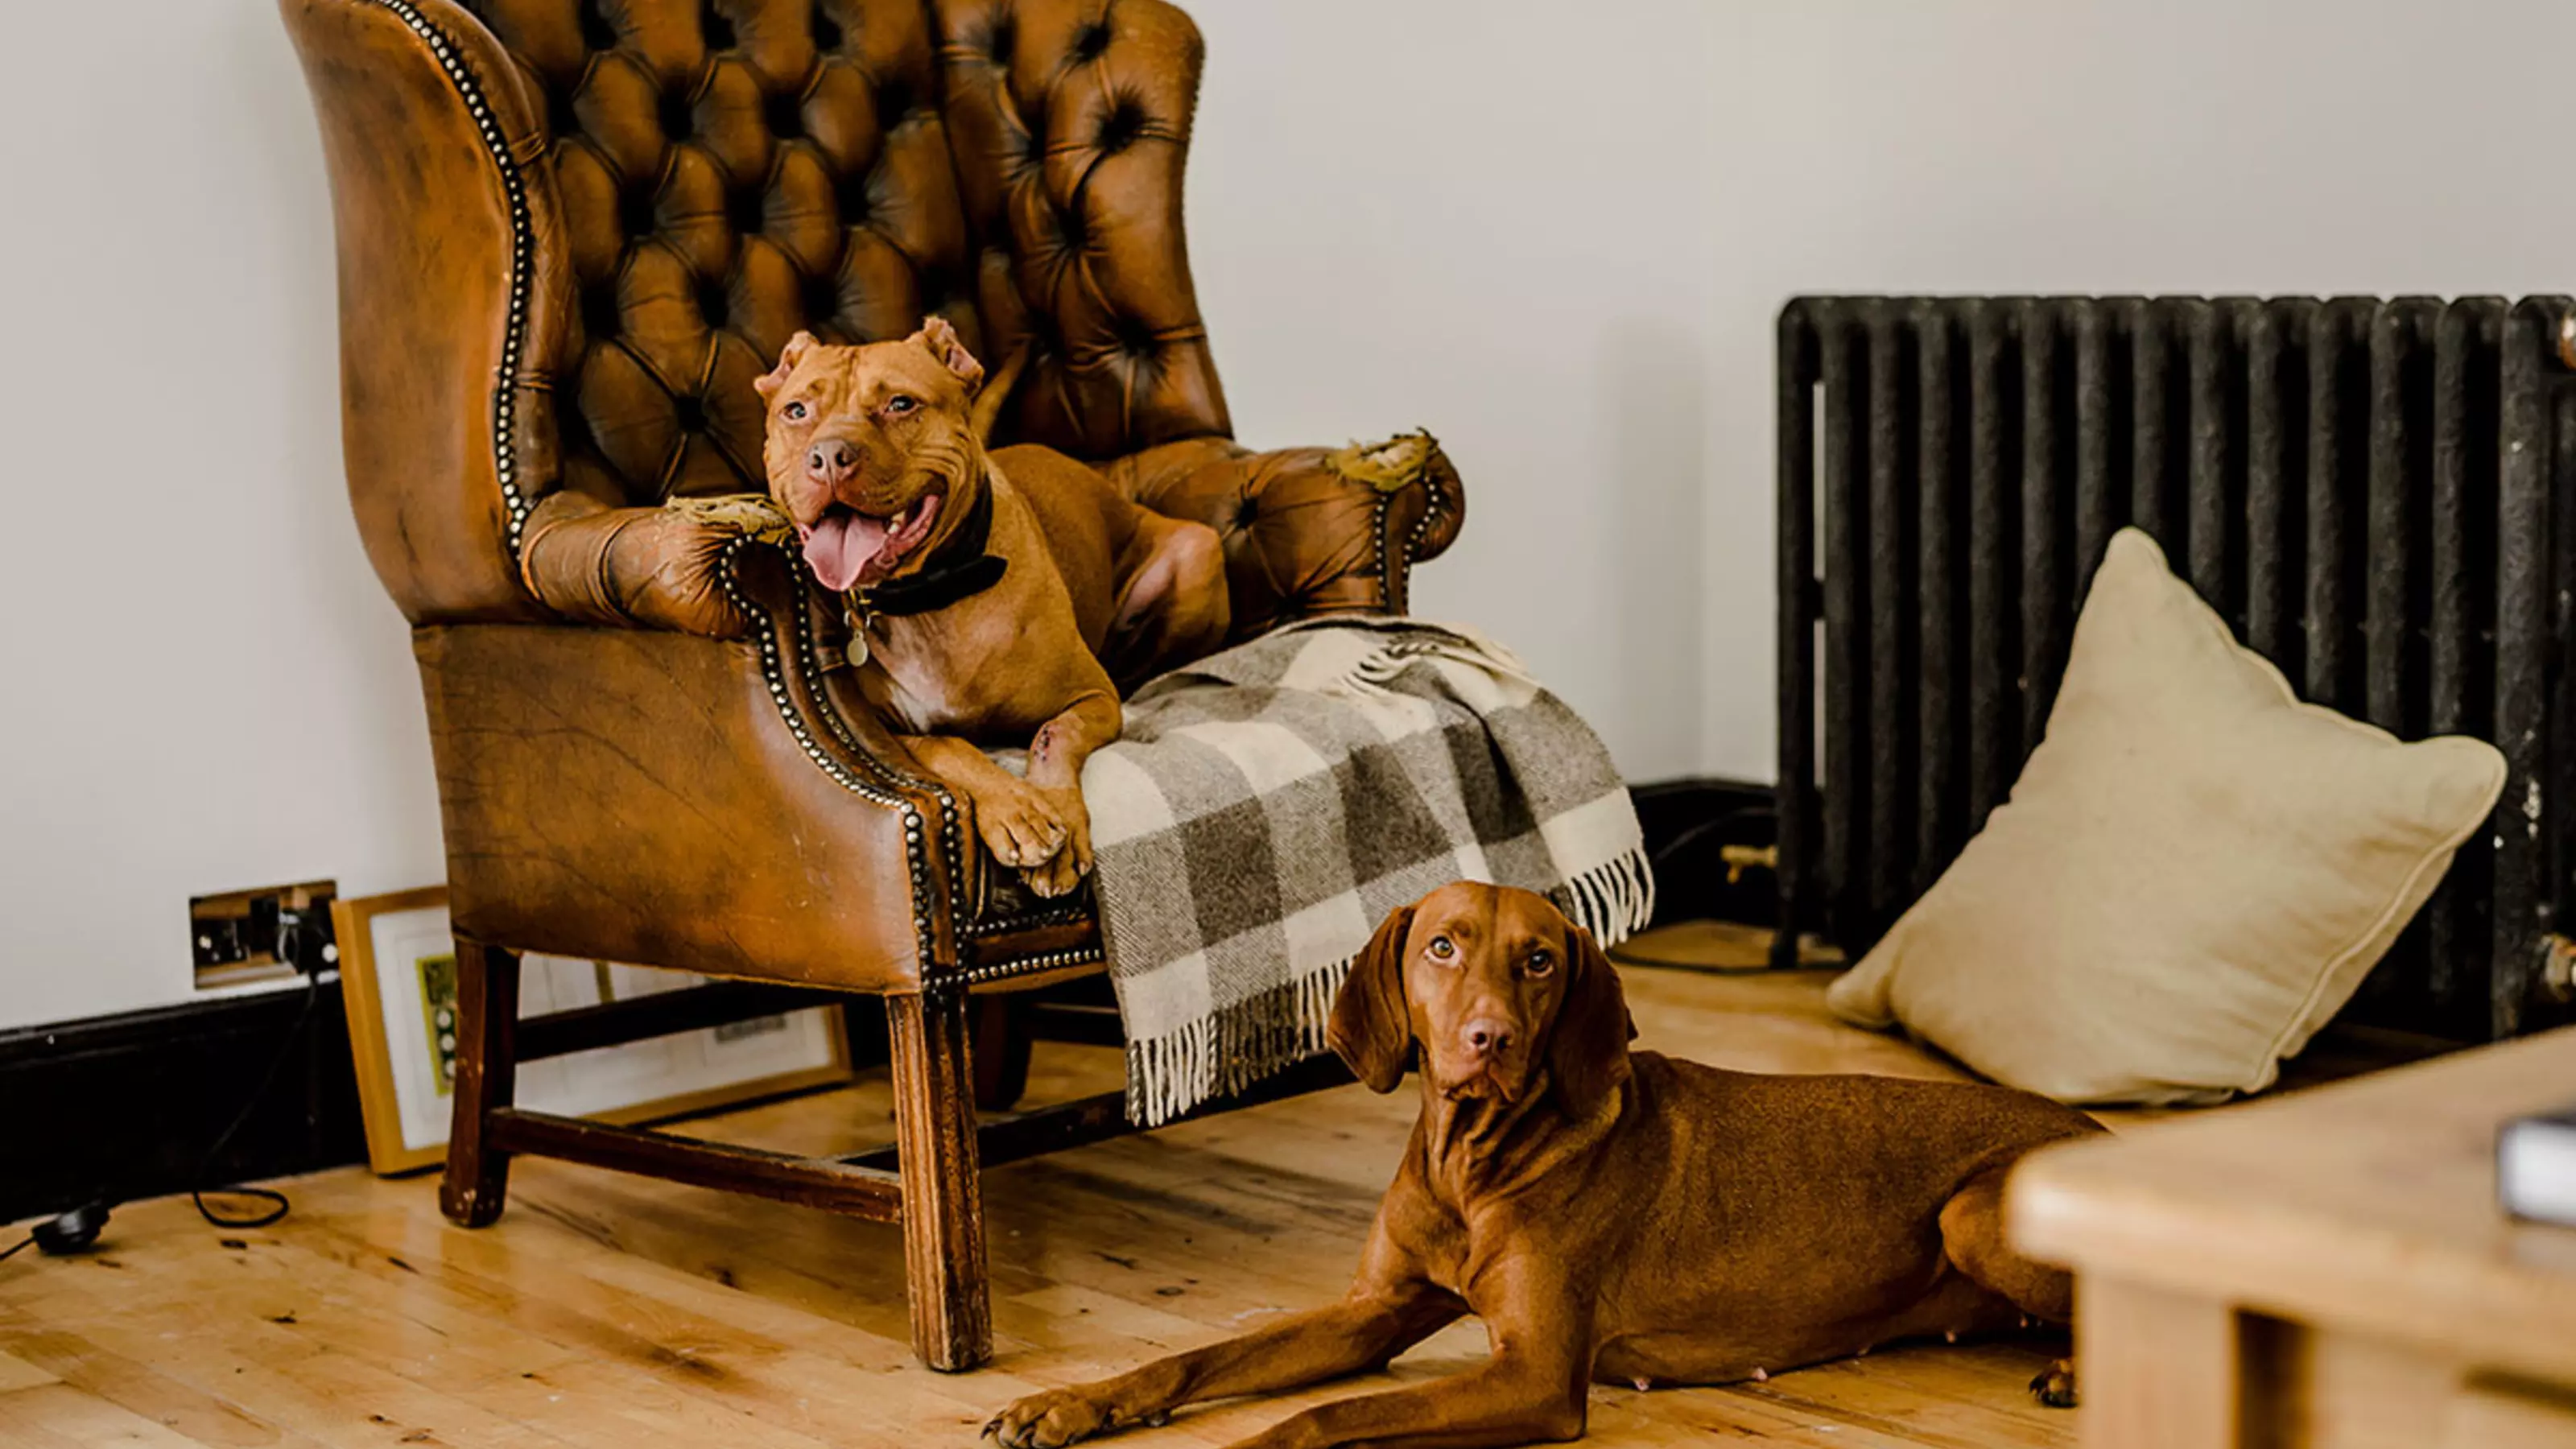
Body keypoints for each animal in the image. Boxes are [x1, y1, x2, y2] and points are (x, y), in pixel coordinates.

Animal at [752, 320, 1226, 897]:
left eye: (901, 404)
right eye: (796, 411)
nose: (828, 458)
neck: (931, 597)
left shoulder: (1095, 697)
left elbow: (1054, 734)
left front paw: (1059, 819)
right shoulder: (883, 732)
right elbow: (947, 744)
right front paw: (1017, 810)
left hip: (1198, 550)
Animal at [994, 876, 2102, 1433]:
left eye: (1536, 960)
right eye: (1441, 945)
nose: (1488, 1039)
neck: (1471, 1166)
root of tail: (2098, 1138)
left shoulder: (1534, 1375)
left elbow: (1321, 1420)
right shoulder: (1371, 1312)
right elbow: (1193, 1357)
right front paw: (1066, 1403)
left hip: (1970, 1212)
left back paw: (2069, 1373)